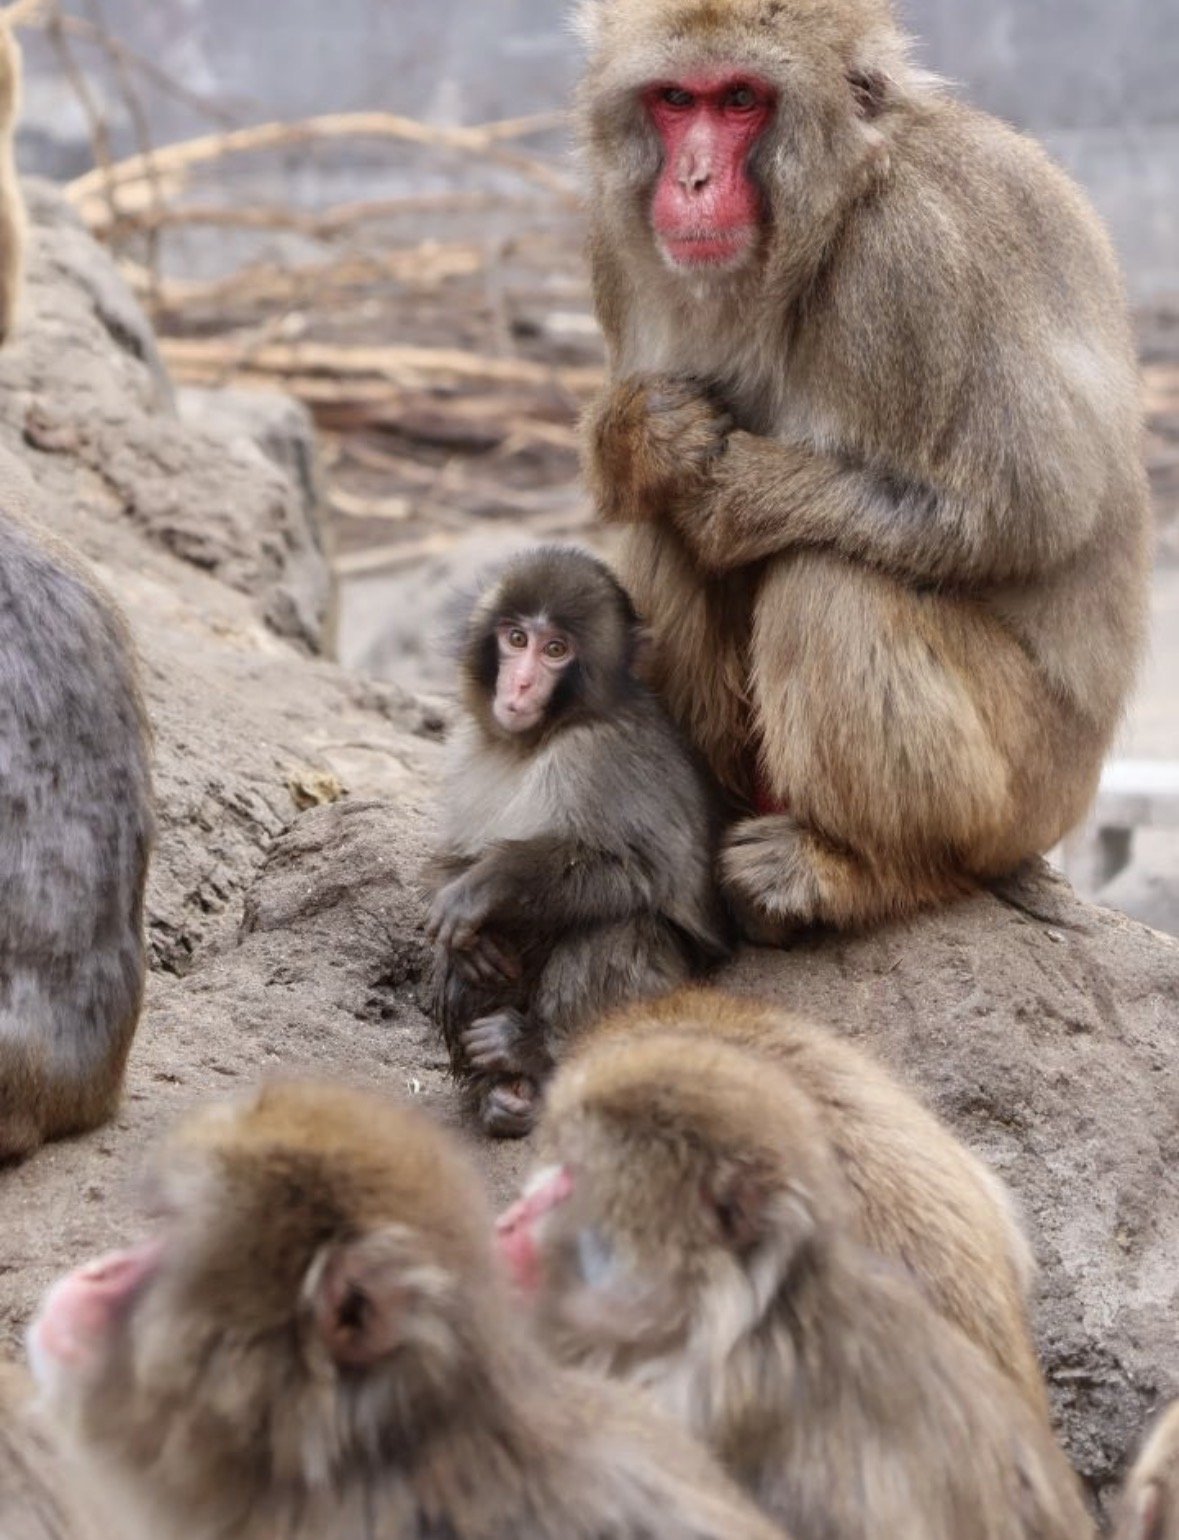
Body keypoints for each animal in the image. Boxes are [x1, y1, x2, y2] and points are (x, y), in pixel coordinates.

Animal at [426, 544, 729, 1138]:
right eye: (516, 639)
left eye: (556, 650)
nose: (520, 685)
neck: (537, 739)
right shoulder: (468, 747)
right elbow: (455, 859)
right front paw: (470, 932)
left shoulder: (601, 755)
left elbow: (639, 868)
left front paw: (487, 887)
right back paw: (500, 1095)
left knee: (618, 920)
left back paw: (537, 1057)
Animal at [575, 0, 1151, 939]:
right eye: (675, 99)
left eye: (741, 99)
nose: (691, 180)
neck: (833, 210)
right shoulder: (613, 248)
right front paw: (644, 438)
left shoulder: (905, 261)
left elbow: (1021, 511)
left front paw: (732, 498)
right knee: (661, 537)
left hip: (1027, 790)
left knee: (828, 581)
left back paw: (862, 870)